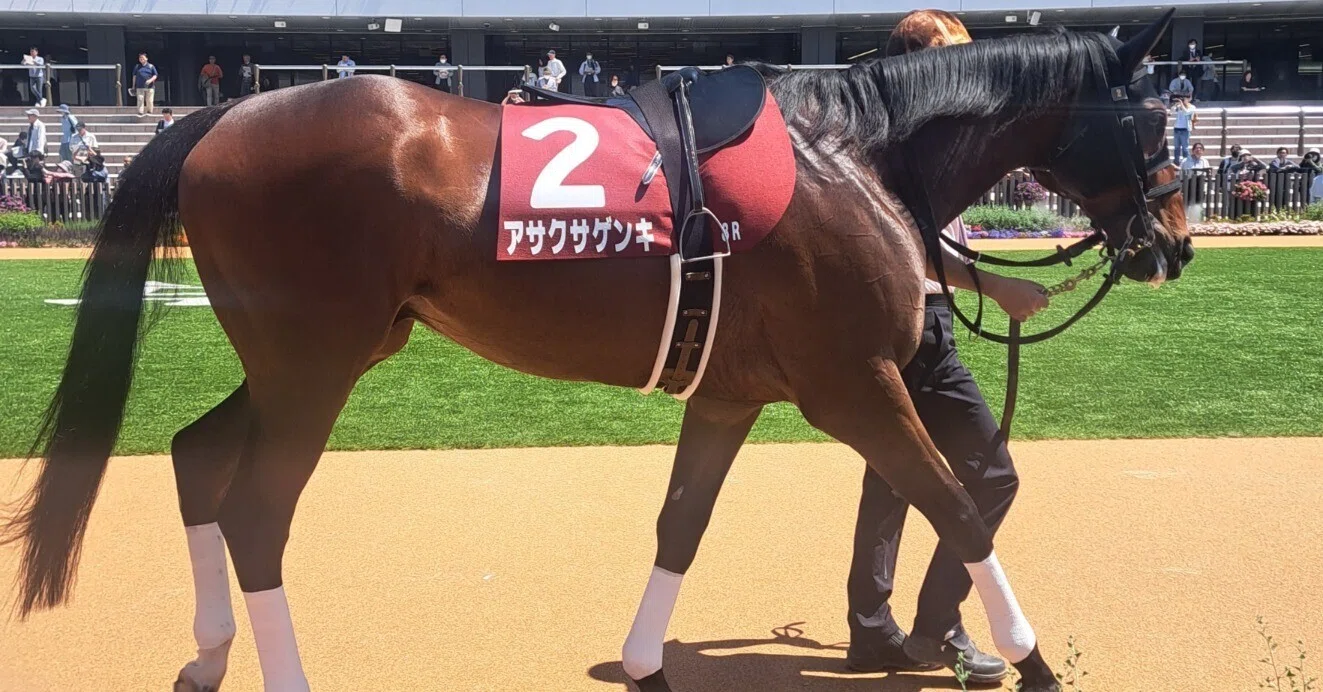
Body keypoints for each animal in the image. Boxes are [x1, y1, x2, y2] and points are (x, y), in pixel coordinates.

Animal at [2, 13, 1191, 692]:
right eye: (1151, 118)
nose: (1175, 243)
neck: (853, 151)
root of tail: (216, 119)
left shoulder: (733, 392)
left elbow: (681, 523)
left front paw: (644, 666)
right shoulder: (853, 385)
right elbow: (955, 504)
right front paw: (1033, 663)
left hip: (316, 356)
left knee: (195, 455)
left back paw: (207, 655)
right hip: (314, 367)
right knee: (254, 513)